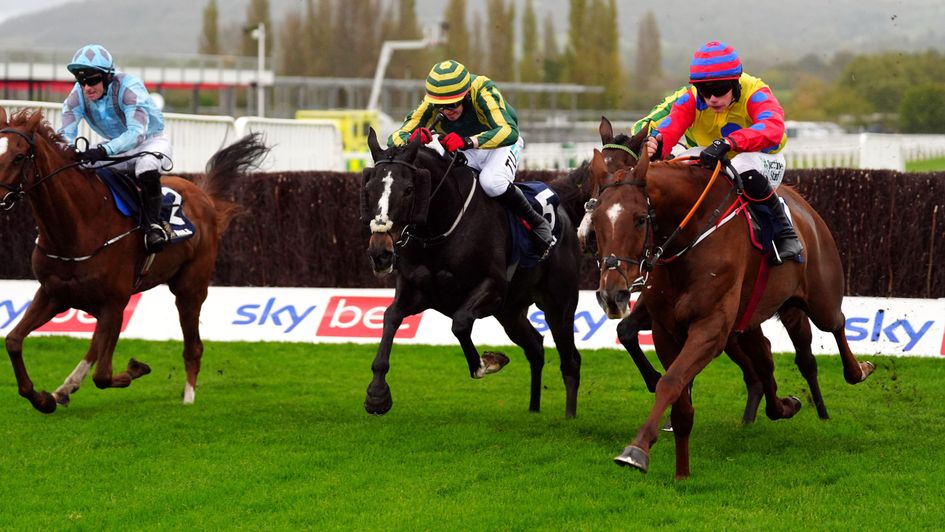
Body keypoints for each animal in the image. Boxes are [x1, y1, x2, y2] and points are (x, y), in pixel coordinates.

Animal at [1, 108, 268, 414]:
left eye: (19, 156)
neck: (79, 224)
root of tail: (205, 197)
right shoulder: (53, 294)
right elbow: (13, 341)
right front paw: (43, 399)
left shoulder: (115, 302)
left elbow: (103, 376)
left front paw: (137, 367)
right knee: (95, 344)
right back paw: (65, 389)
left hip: (190, 288)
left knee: (193, 346)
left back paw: (188, 397)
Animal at [360, 129, 588, 416]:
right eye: (369, 189)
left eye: (409, 190)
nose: (380, 252)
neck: (440, 229)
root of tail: (562, 209)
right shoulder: (415, 290)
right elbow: (390, 317)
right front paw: (377, 394)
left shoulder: (492, 288)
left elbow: (460, 323)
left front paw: (486, 363)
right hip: (511, 313)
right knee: (535, 347)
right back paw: (533, 409)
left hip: (559, 306)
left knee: (571, 361)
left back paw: (569, 416)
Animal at [588, 145, 872, 478]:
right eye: (596, 220)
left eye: (640, 219)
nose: (612, 294)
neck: (690, 235)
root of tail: (805, 207)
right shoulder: (666, 330)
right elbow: (677, 394)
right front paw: (681, 472)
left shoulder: (711, 327)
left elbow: (670, 382)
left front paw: (636, 450)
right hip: (751, 318)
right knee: (767, 359)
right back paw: (784, 405)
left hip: (820, 298)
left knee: (835, 326)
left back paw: (857, 372)